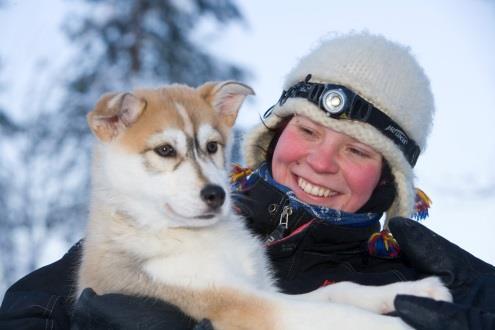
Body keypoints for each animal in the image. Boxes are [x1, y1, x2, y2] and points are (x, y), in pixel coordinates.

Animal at [78, 80, 454, 330]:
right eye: (165, 151)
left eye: (212, 146)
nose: (217, 195)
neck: (199, 236)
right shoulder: (237, 304)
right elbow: (334, 315)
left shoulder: (266, 290)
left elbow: (339, 291)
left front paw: (417, 290)